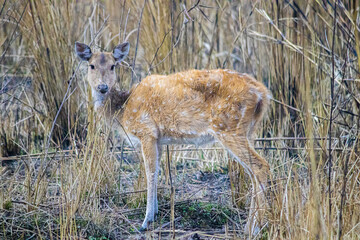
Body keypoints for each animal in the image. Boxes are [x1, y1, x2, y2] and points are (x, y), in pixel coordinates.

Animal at [75, 41, 270, 236]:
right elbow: (156, 171)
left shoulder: (146, 131)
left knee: (261, 167)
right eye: (91, 65)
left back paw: (256, 228)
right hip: (248, 130)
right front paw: (154, 213)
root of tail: (263, 94)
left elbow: (150, 172)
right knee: (253, 174)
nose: (102, 87)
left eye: (112, 66)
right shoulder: (158, 139)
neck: (124, 110)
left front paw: (146, 221)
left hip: (229, 128)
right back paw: (249, 226)